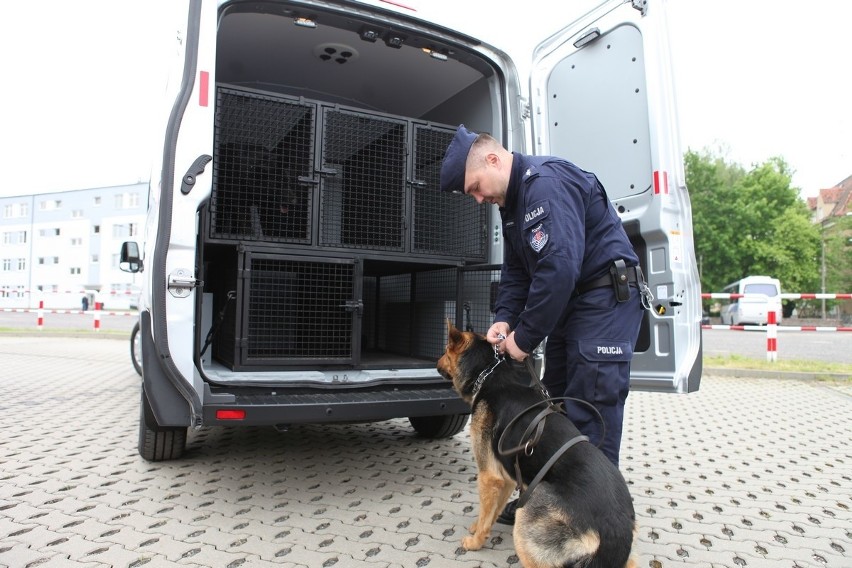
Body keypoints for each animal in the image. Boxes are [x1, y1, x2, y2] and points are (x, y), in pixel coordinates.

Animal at [436, 324, 636, 568]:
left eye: (445, 350)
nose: (435, 363)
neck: (489, 374)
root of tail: (613, 533)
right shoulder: (506, 478)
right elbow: (492, 511)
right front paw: (480, 527)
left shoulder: (489, 475)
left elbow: (486, 510)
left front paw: (475, 541)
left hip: (531, 507)